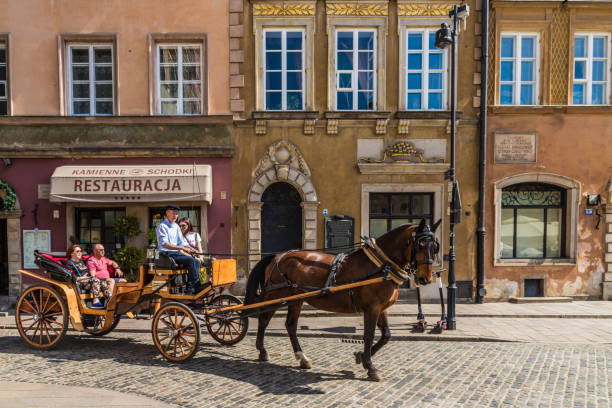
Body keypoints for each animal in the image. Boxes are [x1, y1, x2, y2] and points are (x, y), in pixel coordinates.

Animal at [244, 220, 440, 382]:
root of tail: (278, 256)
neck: (381, 265)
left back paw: (302, 358)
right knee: (264, 320)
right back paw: (262, 351)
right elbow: (368, 335)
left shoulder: (381, 308)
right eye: (420, 245)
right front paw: (370, 367)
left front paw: (361, 357)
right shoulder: (372, 308)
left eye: (435, 246)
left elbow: (386, 336)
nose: (425, 278)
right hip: (276, 296)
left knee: (290, 325)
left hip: (296, 299)